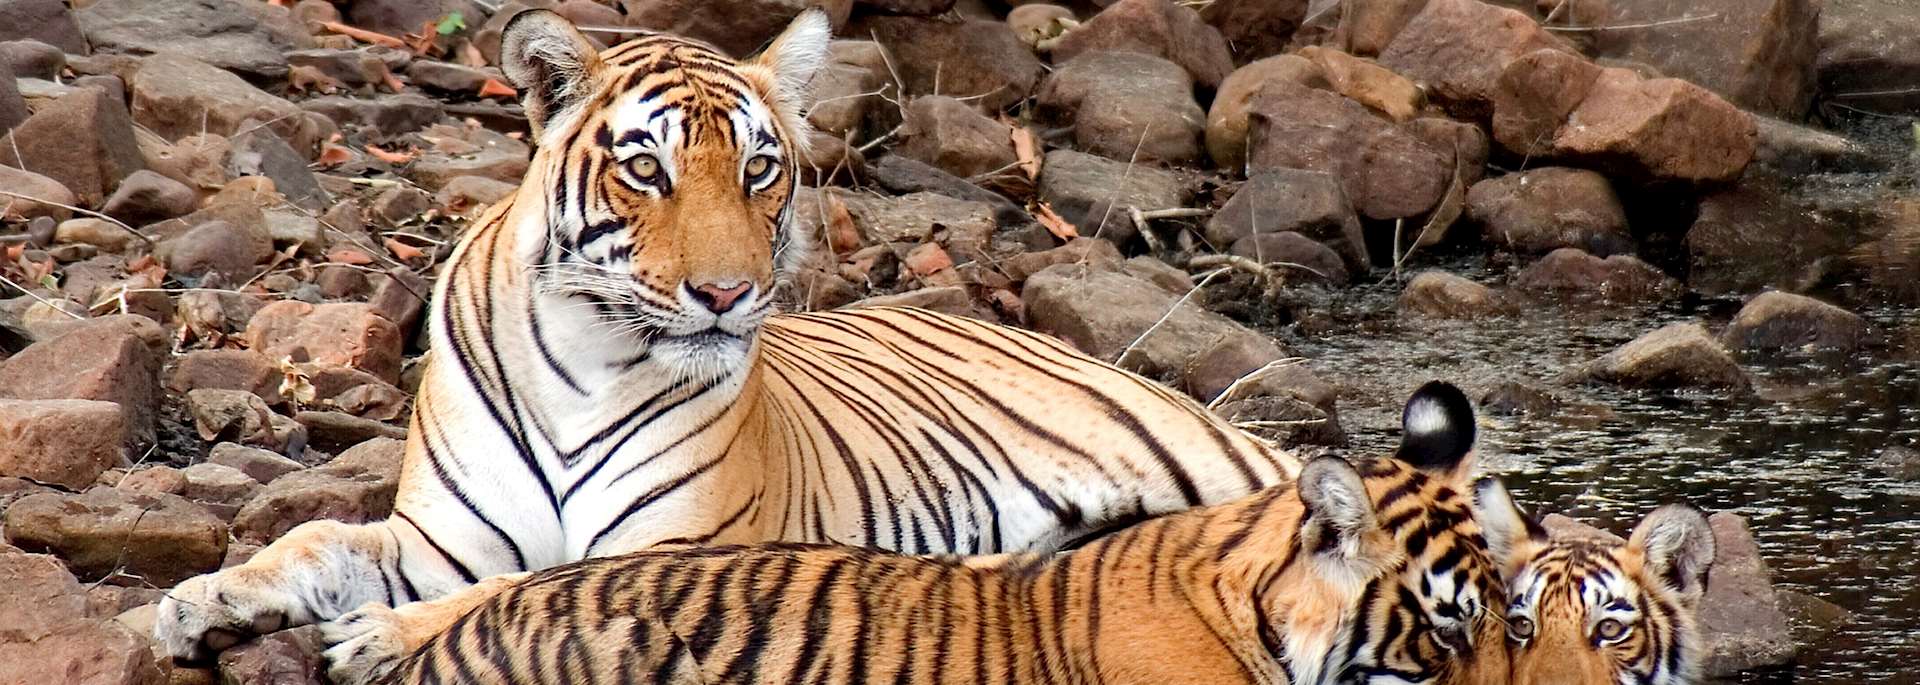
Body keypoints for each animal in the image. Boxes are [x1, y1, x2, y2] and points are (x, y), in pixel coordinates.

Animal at [153, 6, 1297, 672]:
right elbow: (316, 541)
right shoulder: (442, 537)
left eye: (758, 169)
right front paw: (196, 604)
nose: (726, 291)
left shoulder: (671, 553)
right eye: (646, 169)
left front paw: (376, 636)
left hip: (1214, 459)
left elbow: (521, 589)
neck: (584, 362)